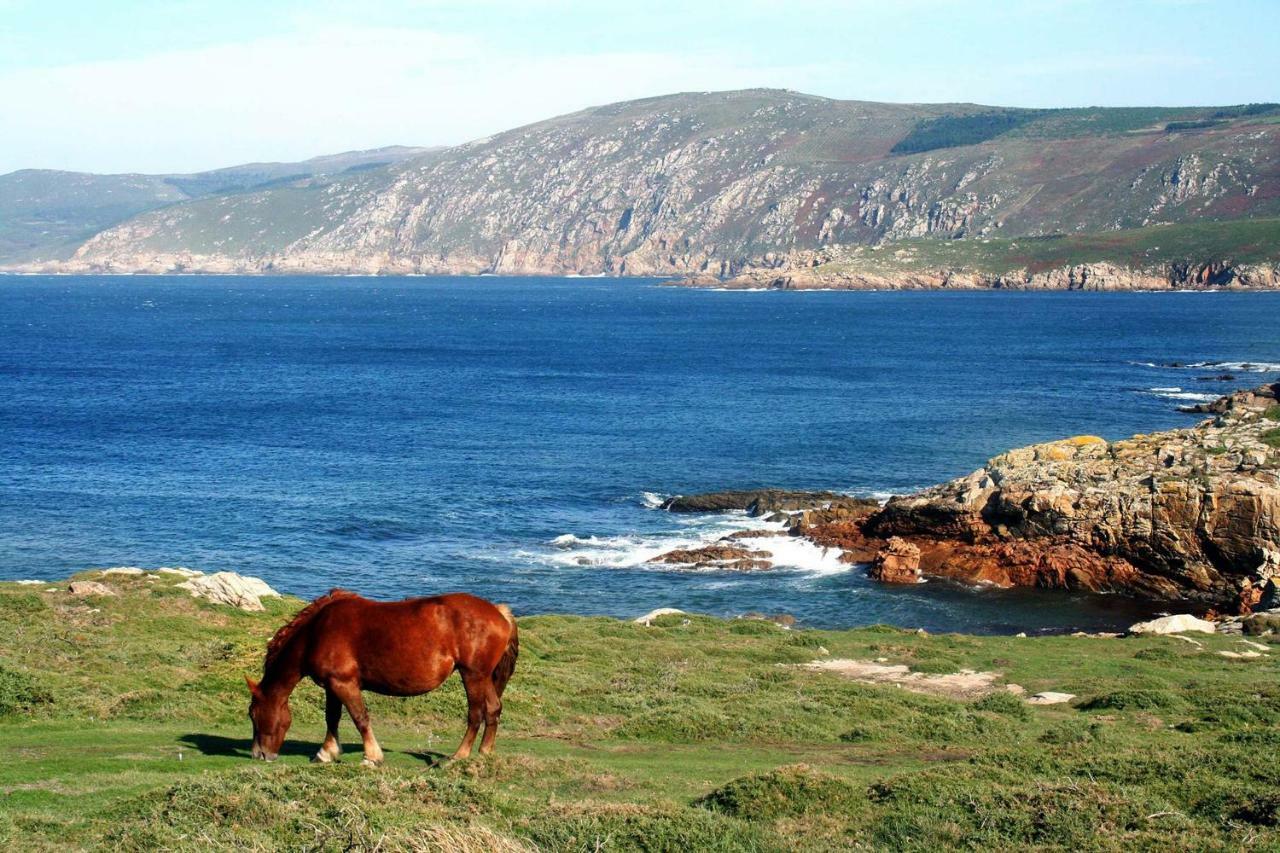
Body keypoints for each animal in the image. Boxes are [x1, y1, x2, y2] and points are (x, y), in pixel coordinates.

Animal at [244, 591, 514, 763]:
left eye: (253, 714)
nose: (259, 754)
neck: (317, 632)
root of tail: (498, 612)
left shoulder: (344, 684)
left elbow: (360, 718)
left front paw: (372, 757)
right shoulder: (332, 686)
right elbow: (332, 718)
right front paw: (327, 752)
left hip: (473, 675)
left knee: (476, 714)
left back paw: (459, 755)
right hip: (484, 677)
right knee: (493, 709)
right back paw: (485, 751)